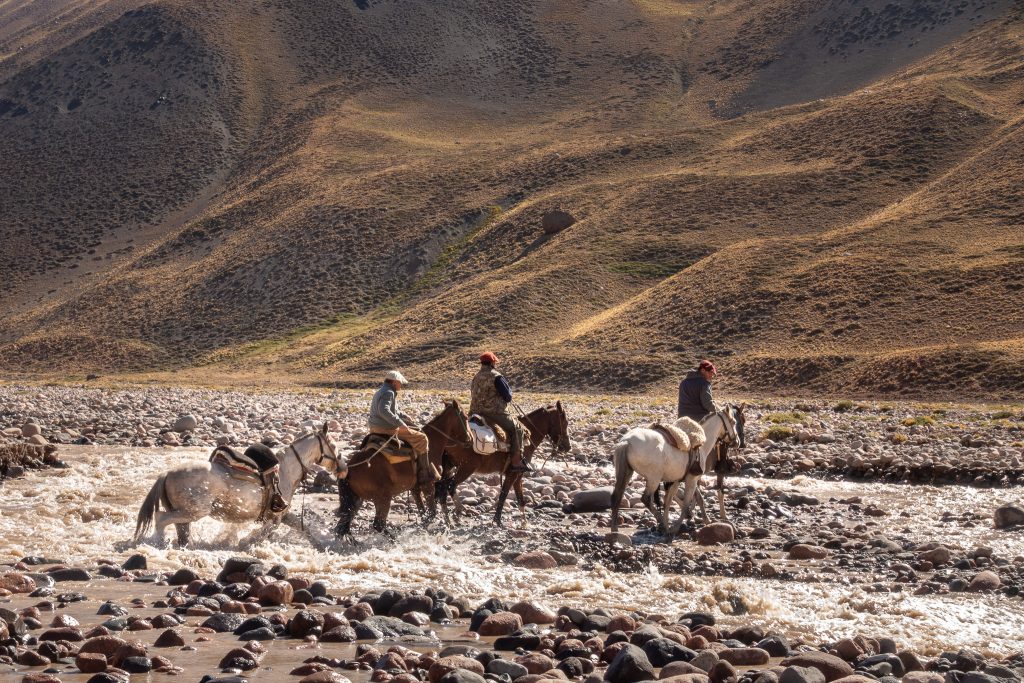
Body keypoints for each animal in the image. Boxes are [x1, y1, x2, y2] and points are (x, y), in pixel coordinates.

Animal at [134, 423, 342, 548]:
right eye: (333, 445)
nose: (343, 467)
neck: (285, 470)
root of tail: (167, 474)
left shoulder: (281, 515)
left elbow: (303, 529)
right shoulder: (274, 518)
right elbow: (261, 535)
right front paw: (244, 542)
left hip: (184, 513)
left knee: (179, 528)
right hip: (194, 511)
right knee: (161, 519)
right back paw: (159, 542)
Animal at [335, 401, 471, 540]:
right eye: (465, 418)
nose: (469, 439)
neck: (433, 444)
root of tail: (349, 469)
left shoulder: (415, 488)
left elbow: (423, 514)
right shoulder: (428, 485)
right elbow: (431, 513)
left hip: (356, 499)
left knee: (343, 524)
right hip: (383, 497)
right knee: (378, 524)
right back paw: (393, 539)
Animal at [430, 397, 573, 528]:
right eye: (565, 422)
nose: (567, 447)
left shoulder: (518, 475)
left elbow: (520, 498)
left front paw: (524, 523)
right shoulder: (513, 473)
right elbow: (503, 495)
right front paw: (498, 521)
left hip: (448, 467)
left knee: (440, 489)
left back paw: (443, 519)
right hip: (466, 468)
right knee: (450, 486)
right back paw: (458, 512)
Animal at [606, 405, 745, 540]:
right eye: (733, 422)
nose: (737, 442)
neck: (701, 445)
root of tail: (627, 441)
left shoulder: (677, 480)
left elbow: (671, 501)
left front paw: (704, 520)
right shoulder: (692, 479)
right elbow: (687, 503)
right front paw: (675, 527)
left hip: (627, 473)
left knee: (616, 497)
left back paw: (615, 530)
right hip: (653, 479)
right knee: (645, 498)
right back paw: (662, 524)